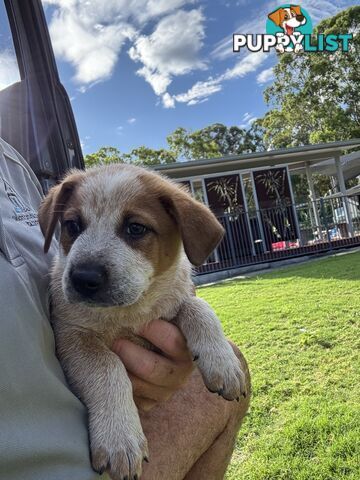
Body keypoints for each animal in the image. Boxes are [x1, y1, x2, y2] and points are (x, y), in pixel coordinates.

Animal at [39, 163, 248, 478]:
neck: (129, 312)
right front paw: (119, 438)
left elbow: (200, 308)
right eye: (73, 226)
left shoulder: (177, 299)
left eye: (135, 228)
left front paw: (223, 363)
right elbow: (107, 367)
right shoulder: (71, 334)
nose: (83, 278)